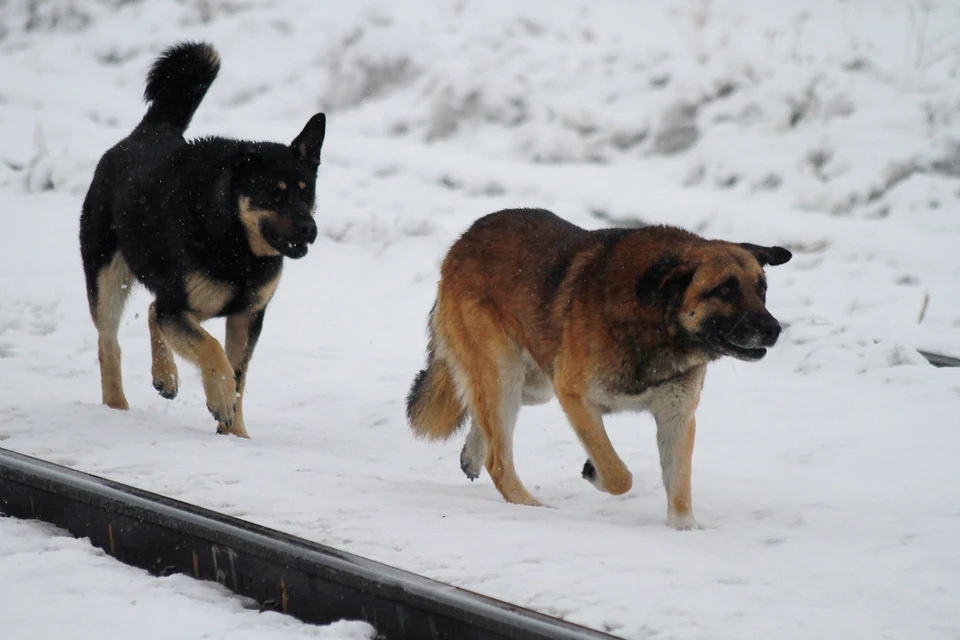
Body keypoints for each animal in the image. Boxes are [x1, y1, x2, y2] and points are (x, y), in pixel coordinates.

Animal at [80, 42, 326, 438]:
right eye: (273, 194)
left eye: (307, 192)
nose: (310, 229)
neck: (237, 243)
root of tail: (149, 131)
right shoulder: (181, 306)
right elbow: (212, 350)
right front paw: (220, 399)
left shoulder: (246, 316)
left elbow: (239, 374)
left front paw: (235, 434)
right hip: (107, 277)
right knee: (109, 343)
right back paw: (116, 406)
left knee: (152, 310)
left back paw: (165, 377)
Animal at [408, 208, 792, 528]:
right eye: (724, 290)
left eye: (762, 290)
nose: (774, 329)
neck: (657, 320)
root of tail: (463, 241)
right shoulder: (575, 397)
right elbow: (619, 475)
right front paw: (595, 472)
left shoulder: (677, 416)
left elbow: (680, 484)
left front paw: (684, 529)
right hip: (506, 374)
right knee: (499, 461)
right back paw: (531, 506)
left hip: (532, 384)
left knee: (480, 413)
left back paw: (473, 453)